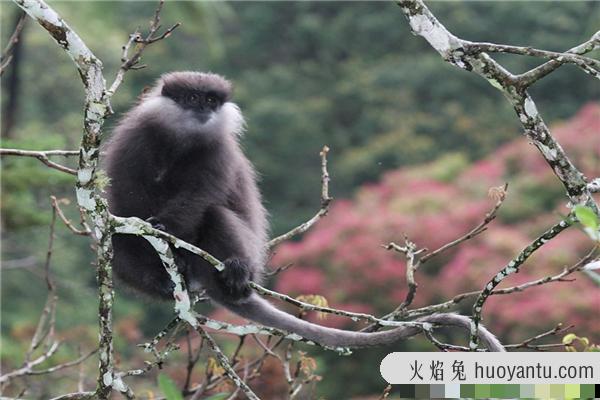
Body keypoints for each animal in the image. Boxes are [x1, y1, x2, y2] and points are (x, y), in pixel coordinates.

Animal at [104, 71, 506, 350]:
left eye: (212, 100)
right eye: (192, 98)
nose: (204, 110)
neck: (182, 141)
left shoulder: (216, 151)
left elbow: (201, 196)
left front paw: (166, 227)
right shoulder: (135, 138)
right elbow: (125, 197)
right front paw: (152, 230)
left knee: (214, 214)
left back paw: (235, 273)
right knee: (120, 245)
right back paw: (167, 278)